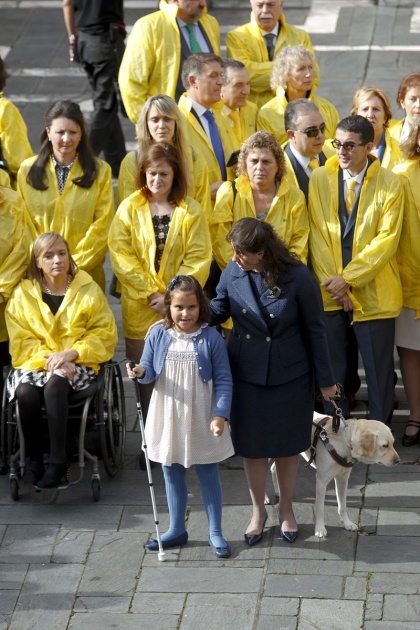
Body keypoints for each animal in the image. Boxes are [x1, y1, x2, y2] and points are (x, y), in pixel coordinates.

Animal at [270, 412, 398, 540]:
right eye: (385, 445)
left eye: (393, 443)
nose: (398, 460)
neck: (344, 442)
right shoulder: (321, 480)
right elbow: (320, 508)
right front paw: (320, 529)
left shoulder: (343, 479)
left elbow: (343, 505)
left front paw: (347, 523)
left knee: (274, 469)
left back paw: (278, 491)